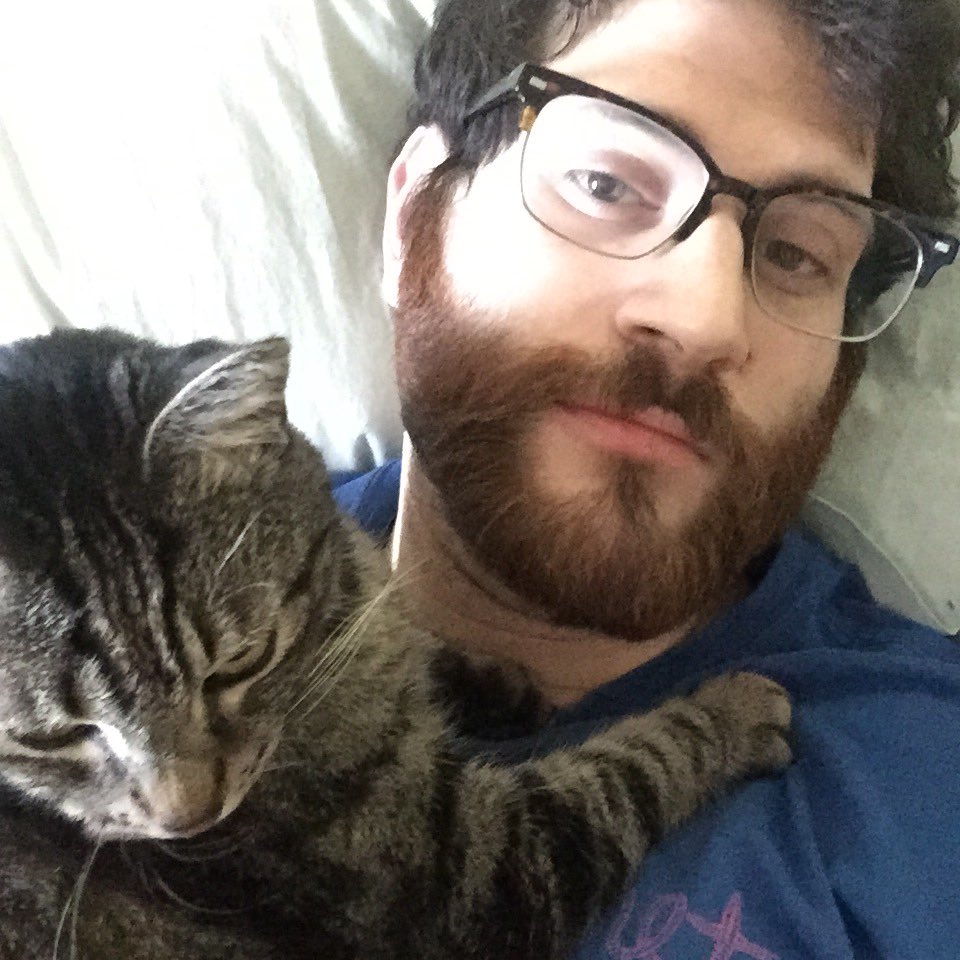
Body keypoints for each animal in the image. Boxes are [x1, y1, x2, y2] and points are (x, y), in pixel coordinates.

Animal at [0, 329, 792, 960]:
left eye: (238, 664)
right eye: (49, 738)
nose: (187, 819)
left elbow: (414, 637)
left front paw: (490, 681)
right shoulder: (477, 873)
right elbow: (627, 772)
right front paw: (732, 711)